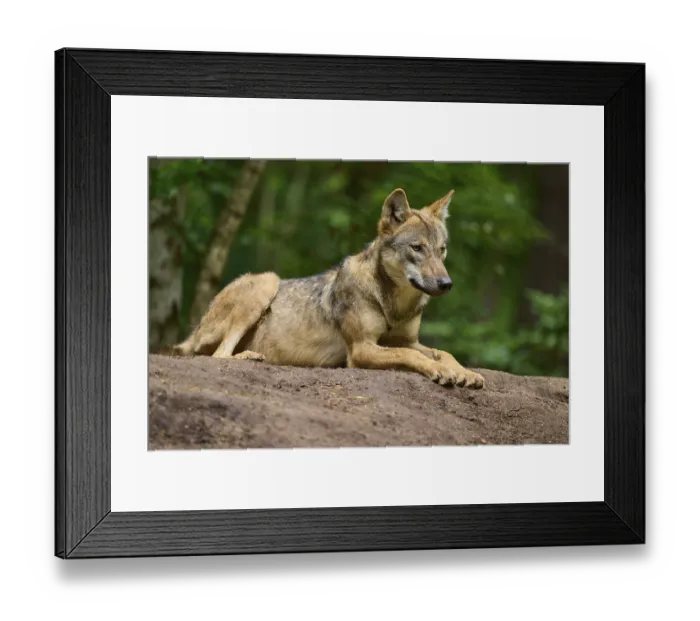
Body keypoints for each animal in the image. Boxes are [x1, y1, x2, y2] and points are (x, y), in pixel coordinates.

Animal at [175, 188, 485, 388]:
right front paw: (440, 371)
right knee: (218, 355)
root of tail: (193, 331)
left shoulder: (407, 340)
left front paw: (464, 372)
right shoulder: (361, 349)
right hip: (267, 281)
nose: (446, 284)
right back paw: (250, 356)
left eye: (442, 250)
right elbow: (410, 356)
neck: (394, 305)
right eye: (417, 248)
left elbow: (443, 352)